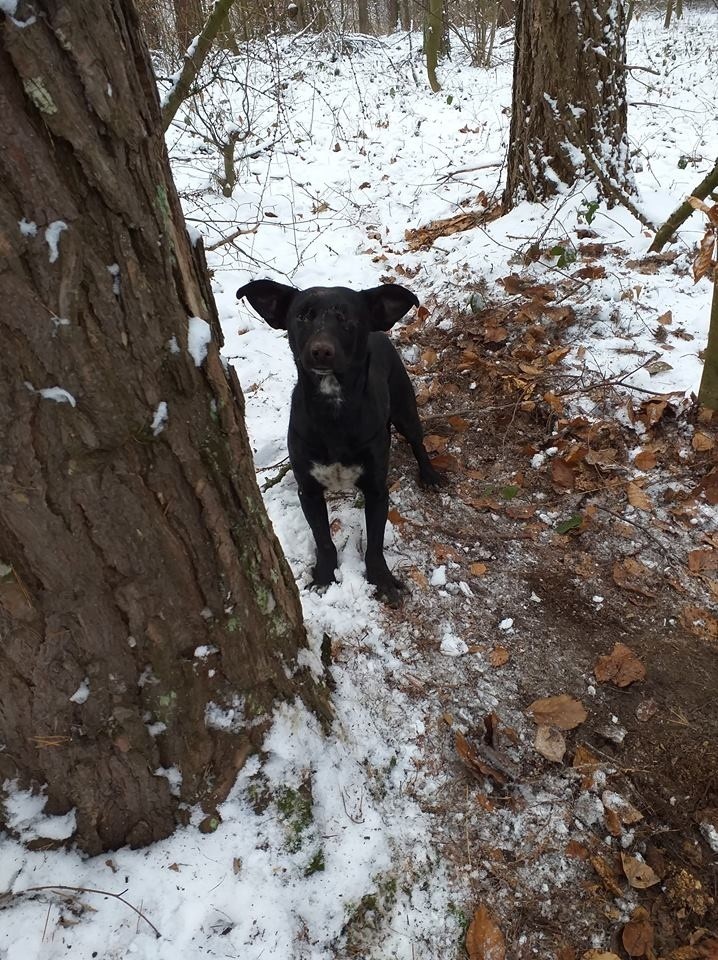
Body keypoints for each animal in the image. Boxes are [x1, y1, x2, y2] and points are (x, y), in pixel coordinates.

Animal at [236, 282, 442, 604]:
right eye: (302, 316)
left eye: (347, 318)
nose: (321, 351)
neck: (334, 410)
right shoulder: (308, 491)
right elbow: (323, 539)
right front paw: (324, 576)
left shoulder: (376, 490)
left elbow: (375, 543)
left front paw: (382, 579)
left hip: (405, 408)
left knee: (417, 442)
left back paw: (430, 475)